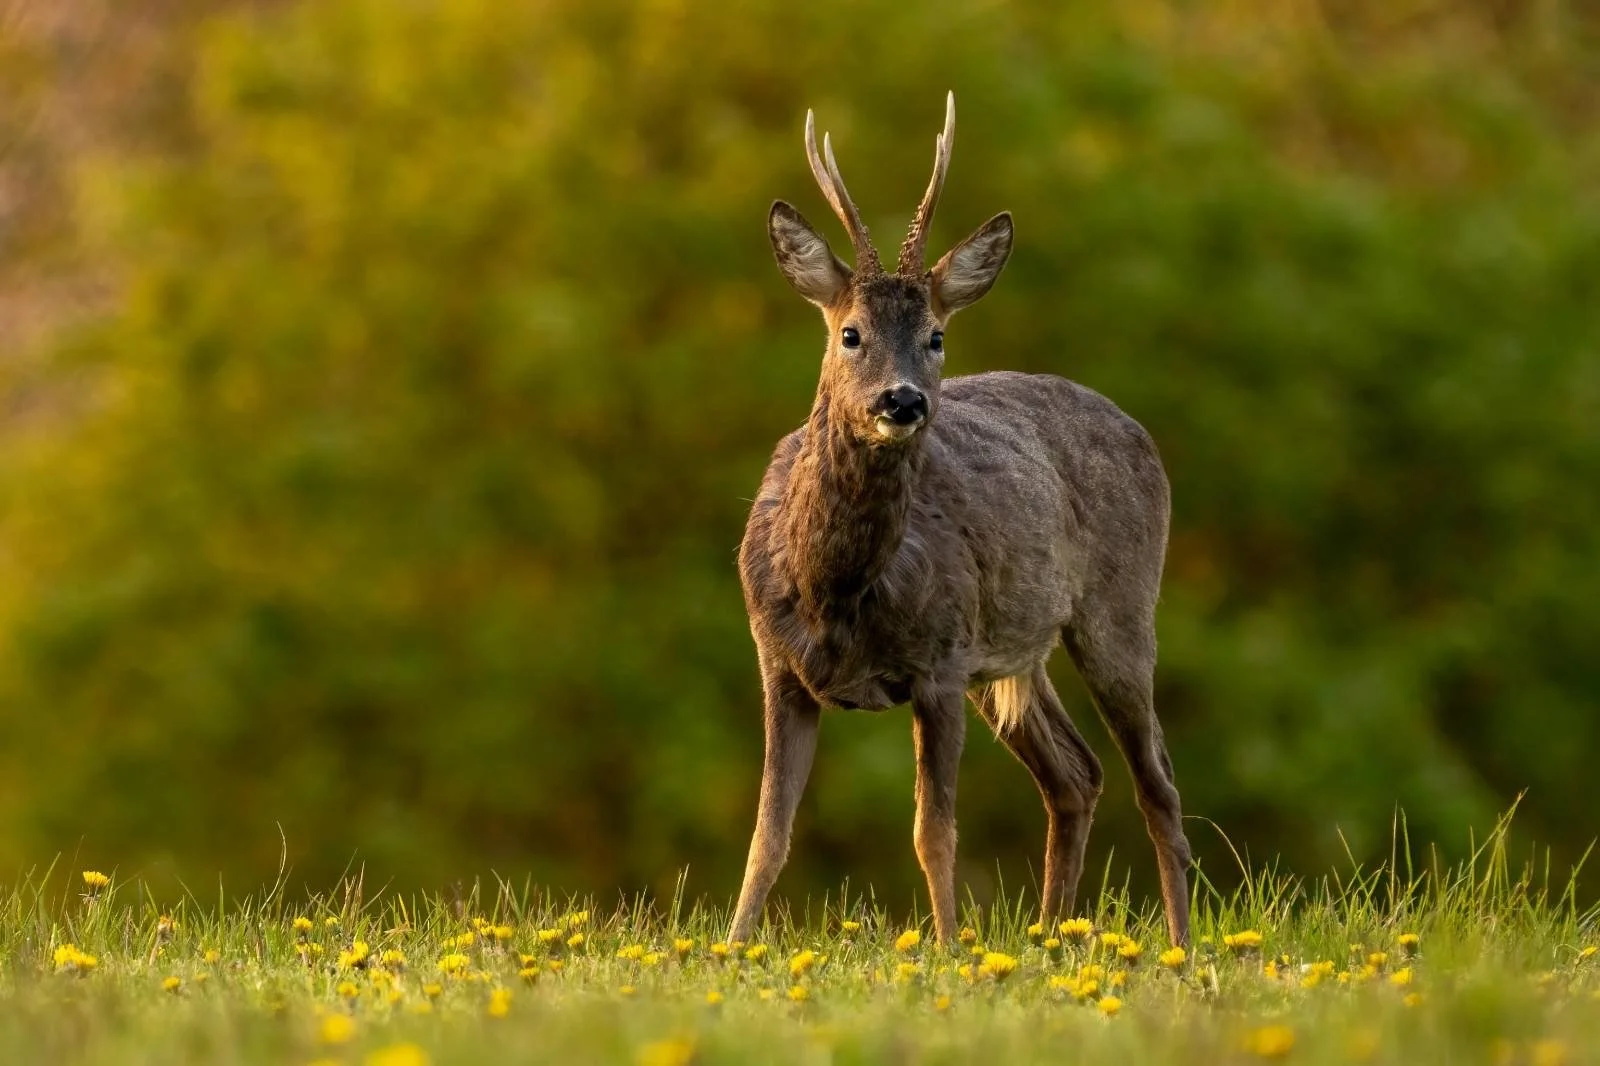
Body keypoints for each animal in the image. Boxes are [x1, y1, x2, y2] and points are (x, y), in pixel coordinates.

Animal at [727, 93, 1192, 948]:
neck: (831, 589)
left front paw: (944, 948)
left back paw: (1179, 943)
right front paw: (730, 948)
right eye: (850, 333)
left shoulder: (940, 659)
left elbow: (932, 829)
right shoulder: (778, 663)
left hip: (1117, 608)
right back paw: (1047, 937)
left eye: (937, 336)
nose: (903, 400)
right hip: (1011, 657)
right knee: (1077, 774)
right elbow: (768, 832)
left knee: (1157, 783)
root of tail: (1142, 434)